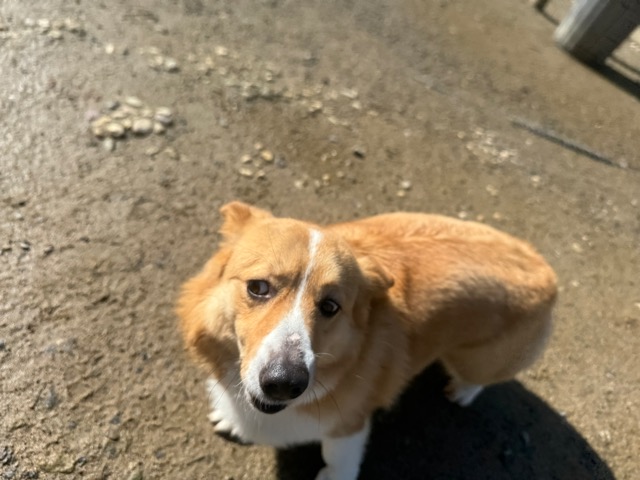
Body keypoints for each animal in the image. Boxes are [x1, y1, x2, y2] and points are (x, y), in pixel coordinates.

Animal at [177, 201, 557, 480]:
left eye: (331, 306)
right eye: (258, 287)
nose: (284, 384)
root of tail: (547, 272)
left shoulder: (349, 423)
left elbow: (337, 457)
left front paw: (332, 477)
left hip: (477, 361)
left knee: (480, 377)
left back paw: (462, 391)